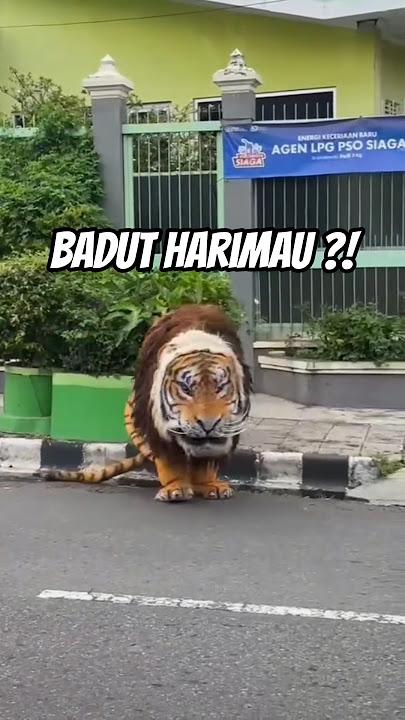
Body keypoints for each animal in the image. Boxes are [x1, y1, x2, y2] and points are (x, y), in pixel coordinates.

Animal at [38, 303, 252, 502]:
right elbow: (169, 461)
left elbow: (207, 461)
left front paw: (209, 485)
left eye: (221, 387)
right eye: (186, 389)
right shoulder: (155, 427)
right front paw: (176, 489)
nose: (208, 424)